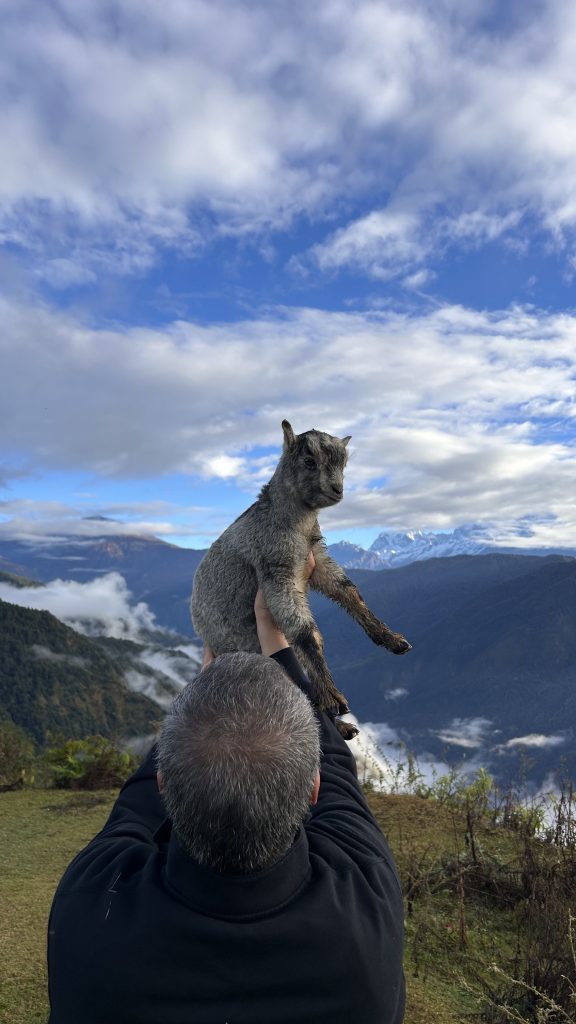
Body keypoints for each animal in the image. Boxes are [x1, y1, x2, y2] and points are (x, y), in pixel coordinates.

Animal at [191, 420, 411, 739]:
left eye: (344, 464)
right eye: (309, 461)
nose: (337, 489)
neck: (295, 524)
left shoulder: (317, 559)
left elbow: (349, 592)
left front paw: (392, 639)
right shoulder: (277, 570)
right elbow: (306, 632)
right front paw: (333, 697)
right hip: (246, 644)